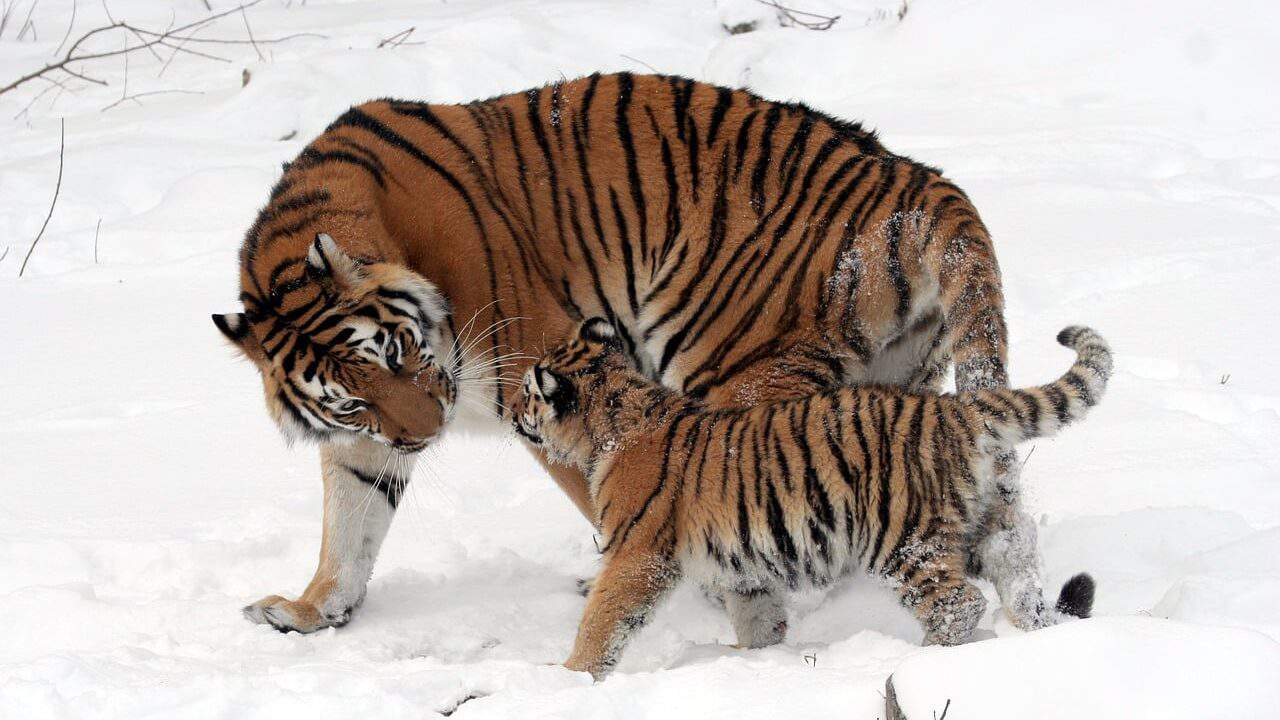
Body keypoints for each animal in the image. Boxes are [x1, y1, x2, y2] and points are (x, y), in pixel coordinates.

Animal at [211, 72, 1021, 641]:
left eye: (400, 352)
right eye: (352, 399)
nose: (426, 434)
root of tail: (917, 180)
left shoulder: (541, 374)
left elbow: (603, 490)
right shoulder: (365, 440)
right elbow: (350, 524)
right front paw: (312, 611)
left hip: (733, 368)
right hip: (899, 381)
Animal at [514, 318, 1109, 678]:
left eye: (526, 392)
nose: (513, 412)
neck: (613, 420)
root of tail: (954, 408)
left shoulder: (637, 554)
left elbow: (603, 619)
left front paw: (568, 678)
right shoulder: (741, 565)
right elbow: (757, 617)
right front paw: (750, 658)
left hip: (903, 539)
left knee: (958, 603)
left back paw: (918, 660)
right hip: (985, 524)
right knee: (1019, 573)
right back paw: (1035, 636)